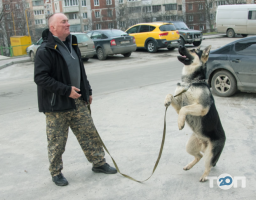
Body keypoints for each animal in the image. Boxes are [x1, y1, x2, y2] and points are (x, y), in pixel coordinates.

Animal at [164, 45, 226, 181]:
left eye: (193, 50)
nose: (180, 44)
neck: (190, 81)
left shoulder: (202, 107)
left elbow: (185, 109)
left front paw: (180, 123)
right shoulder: (179, 103)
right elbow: (170, 95)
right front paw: (166, 100)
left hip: (210, 153)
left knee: (208, 164)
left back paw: (204, 176)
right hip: (190, 146)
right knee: (199, 156)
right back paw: (189, 166)